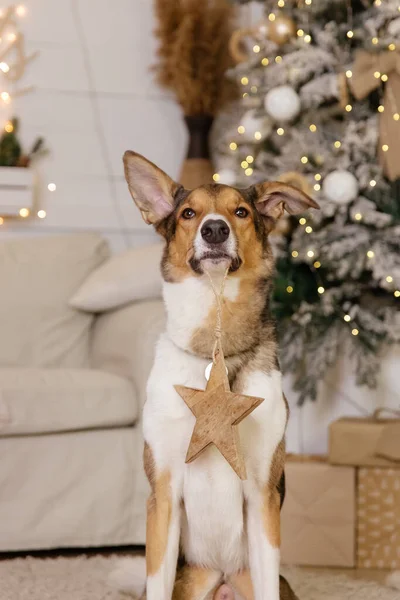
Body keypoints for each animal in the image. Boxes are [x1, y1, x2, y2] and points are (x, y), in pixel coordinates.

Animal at [118, 151, 318, 600]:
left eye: (240, 211)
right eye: (189, 214)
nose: (214, 230)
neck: (215, 343)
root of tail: (222, 578)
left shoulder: (262, 492)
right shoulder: (164, 491)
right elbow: (155, 580)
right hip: (193, 578)